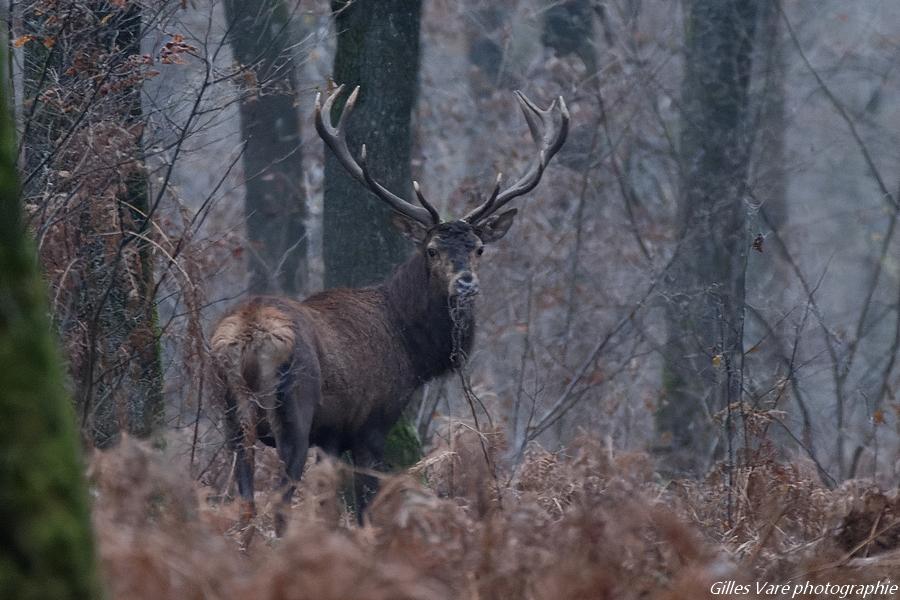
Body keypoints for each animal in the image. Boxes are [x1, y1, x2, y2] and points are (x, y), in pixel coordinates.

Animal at [209, 84, 568, 536]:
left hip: (229, 415)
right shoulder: (371, 422)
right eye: (431, 249)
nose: (466, 282)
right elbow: (366, 505)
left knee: (244, 499)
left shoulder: (332, 436)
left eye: (479, 248)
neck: (411, 348)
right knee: (279, 502)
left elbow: (330, 505)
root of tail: (247, 333)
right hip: (292, 410)